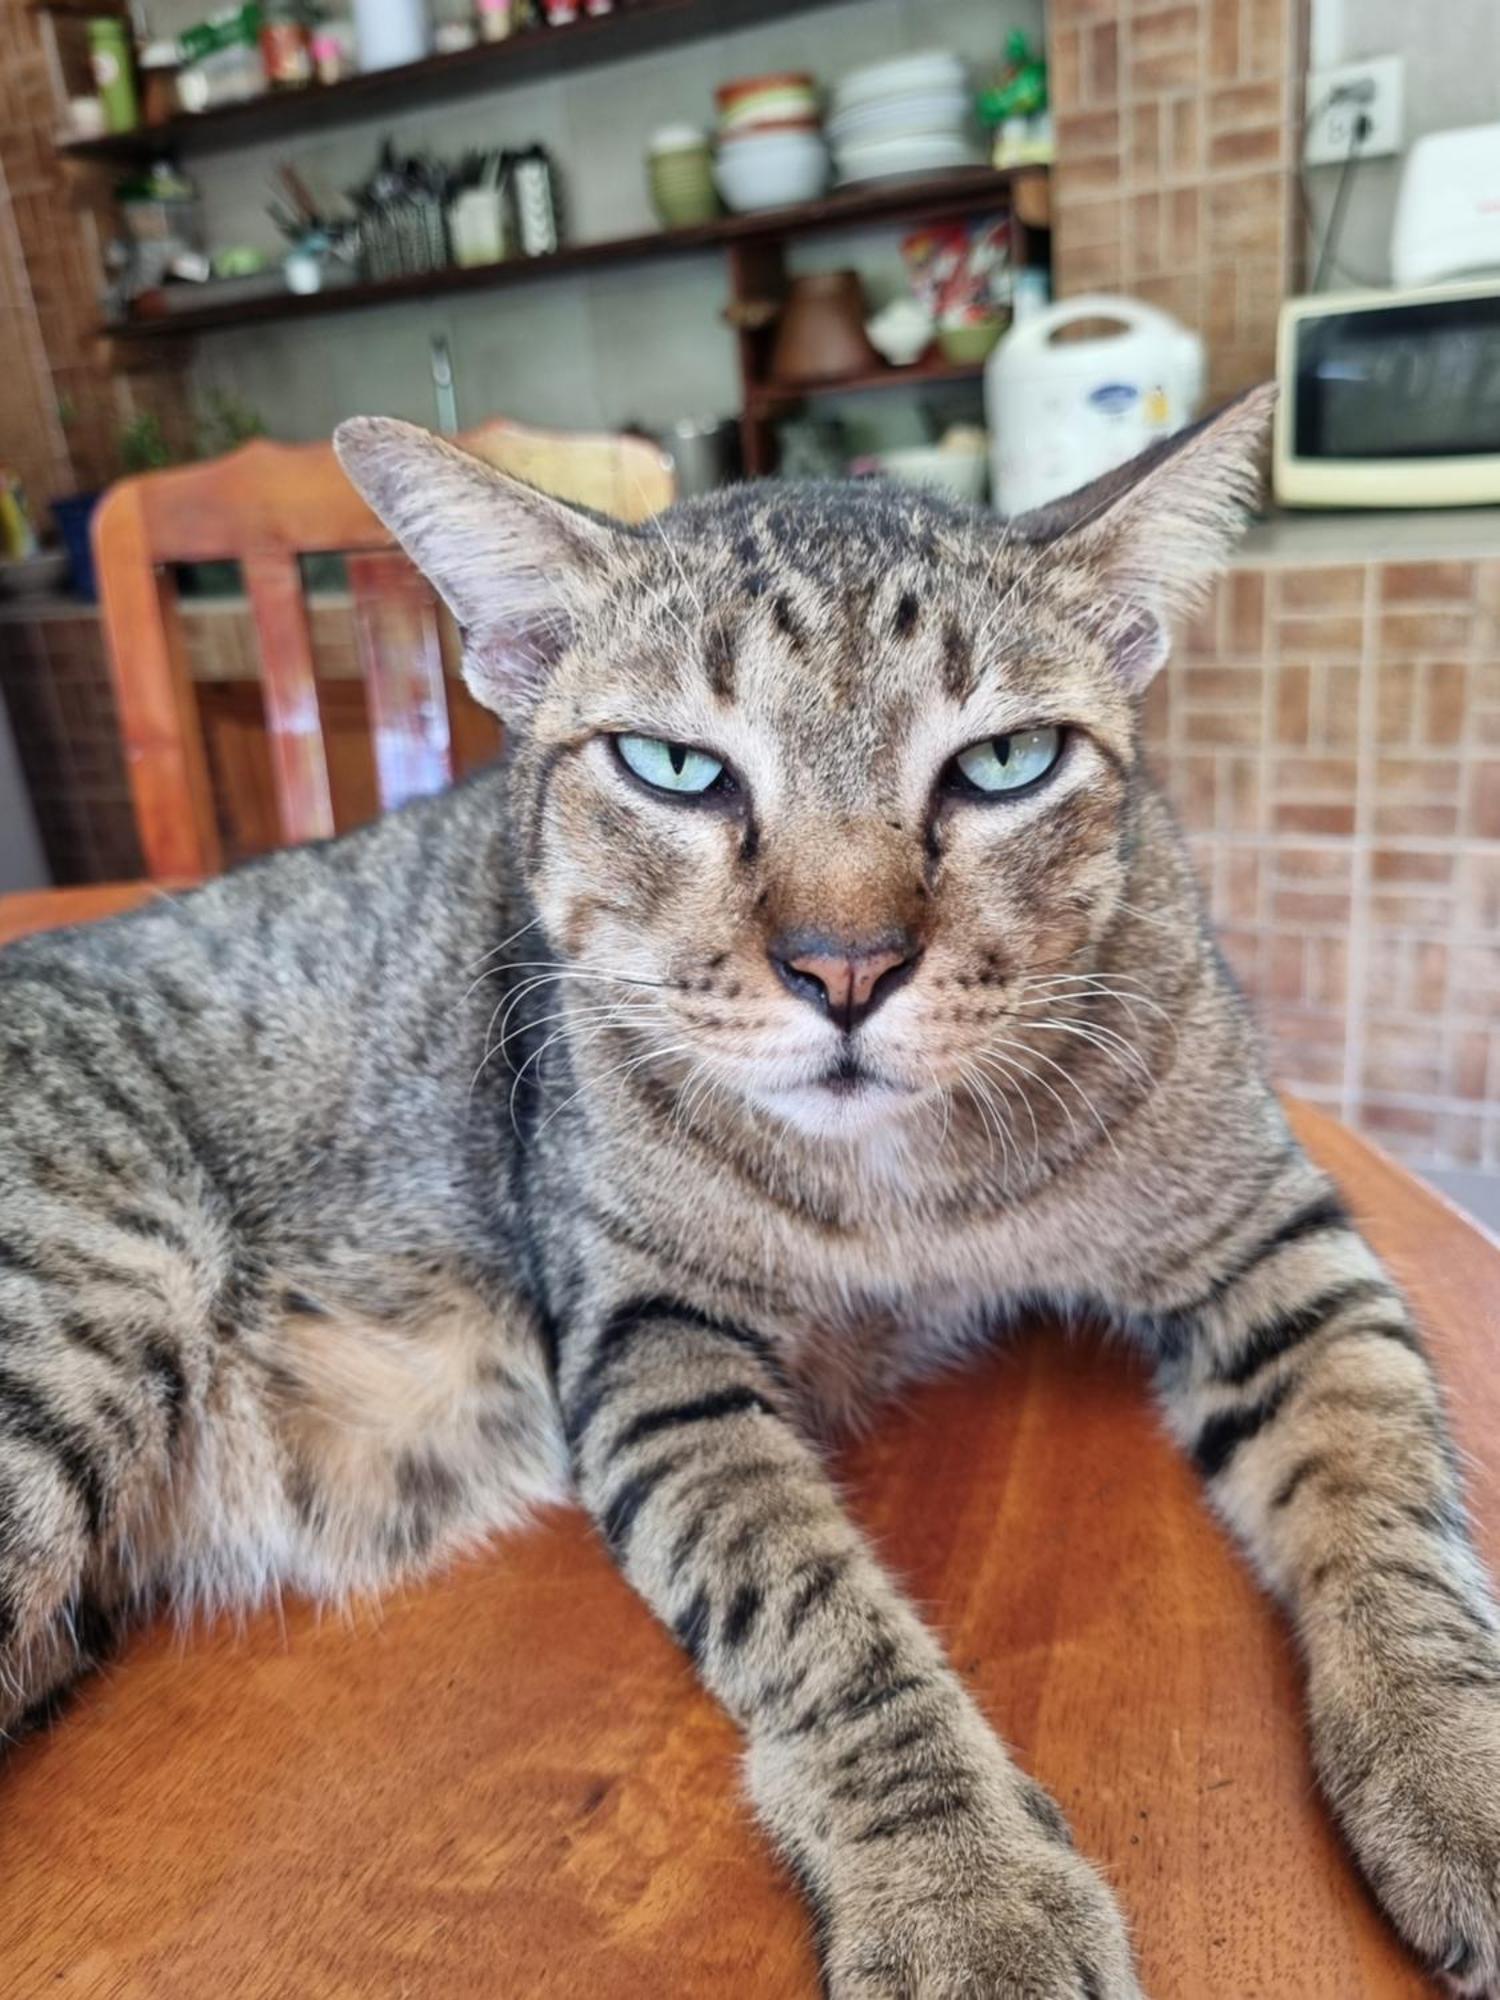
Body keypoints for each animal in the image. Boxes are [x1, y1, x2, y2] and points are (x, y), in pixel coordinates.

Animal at [2, 382, 1500, 1992]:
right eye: (675, 768)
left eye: (1005, 763)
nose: (846, 966)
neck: (905, 1186)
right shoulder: (652, 1346)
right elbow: (816, 1614)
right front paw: (962, 1886)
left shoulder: (1270, 1236)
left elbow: (1389, 1500)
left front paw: (1455, 1768)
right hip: (96, 1303)